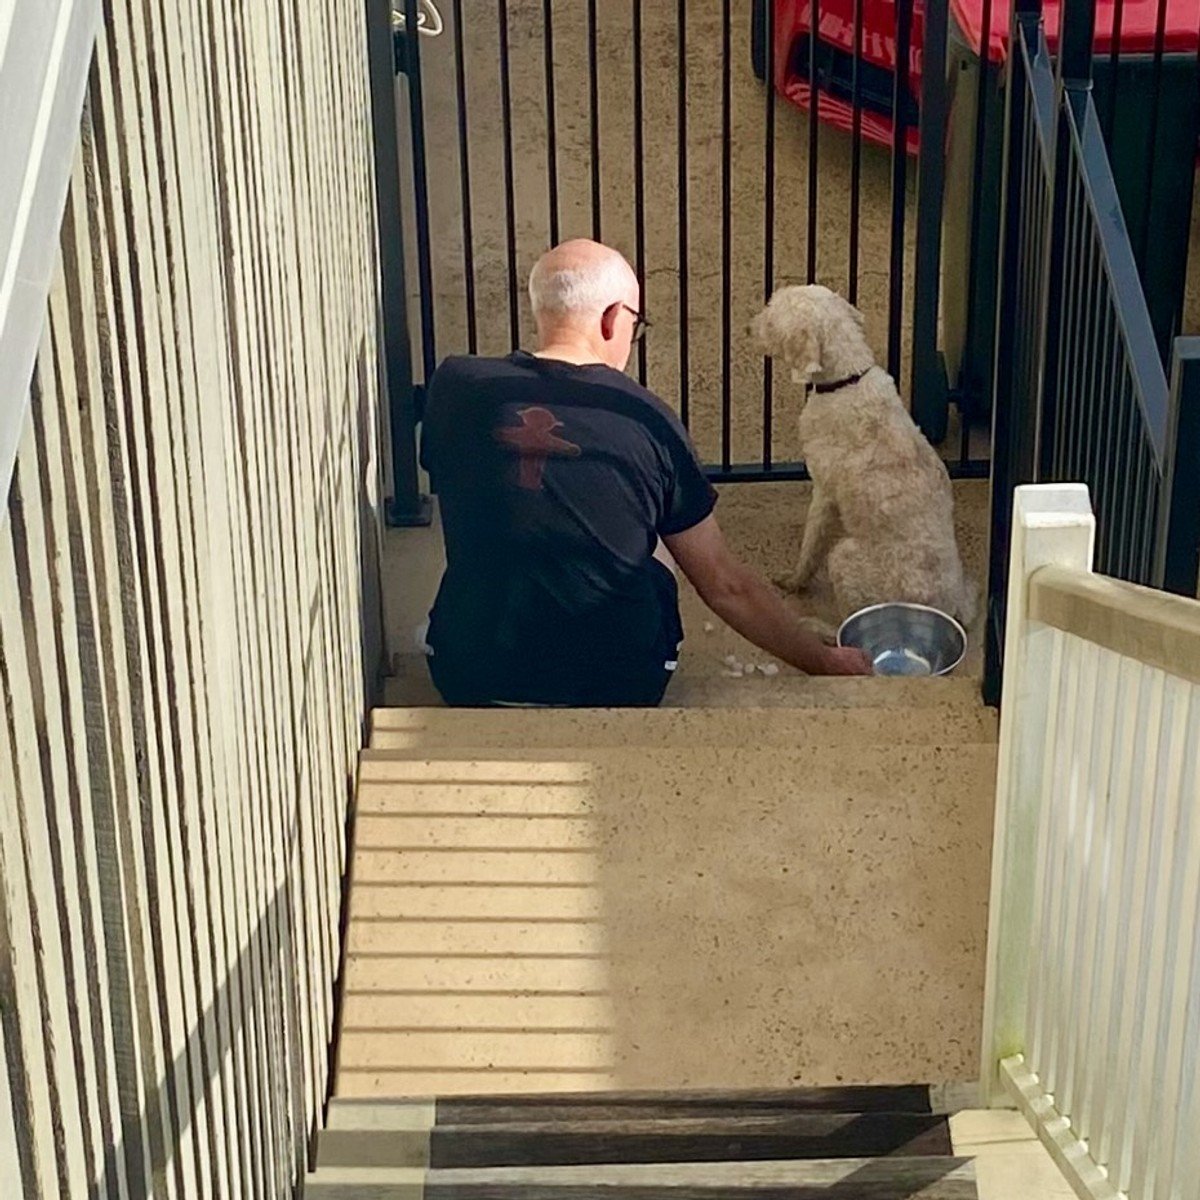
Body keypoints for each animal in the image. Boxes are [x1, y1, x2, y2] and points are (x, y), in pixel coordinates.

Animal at [753, 283, 979, 628]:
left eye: (771, 314)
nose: (749, 326)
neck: (847, 380)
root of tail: (943, 608)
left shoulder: (824, 492)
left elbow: (811, 545)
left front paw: (794, 581)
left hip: (844, 558)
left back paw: (820, 627)